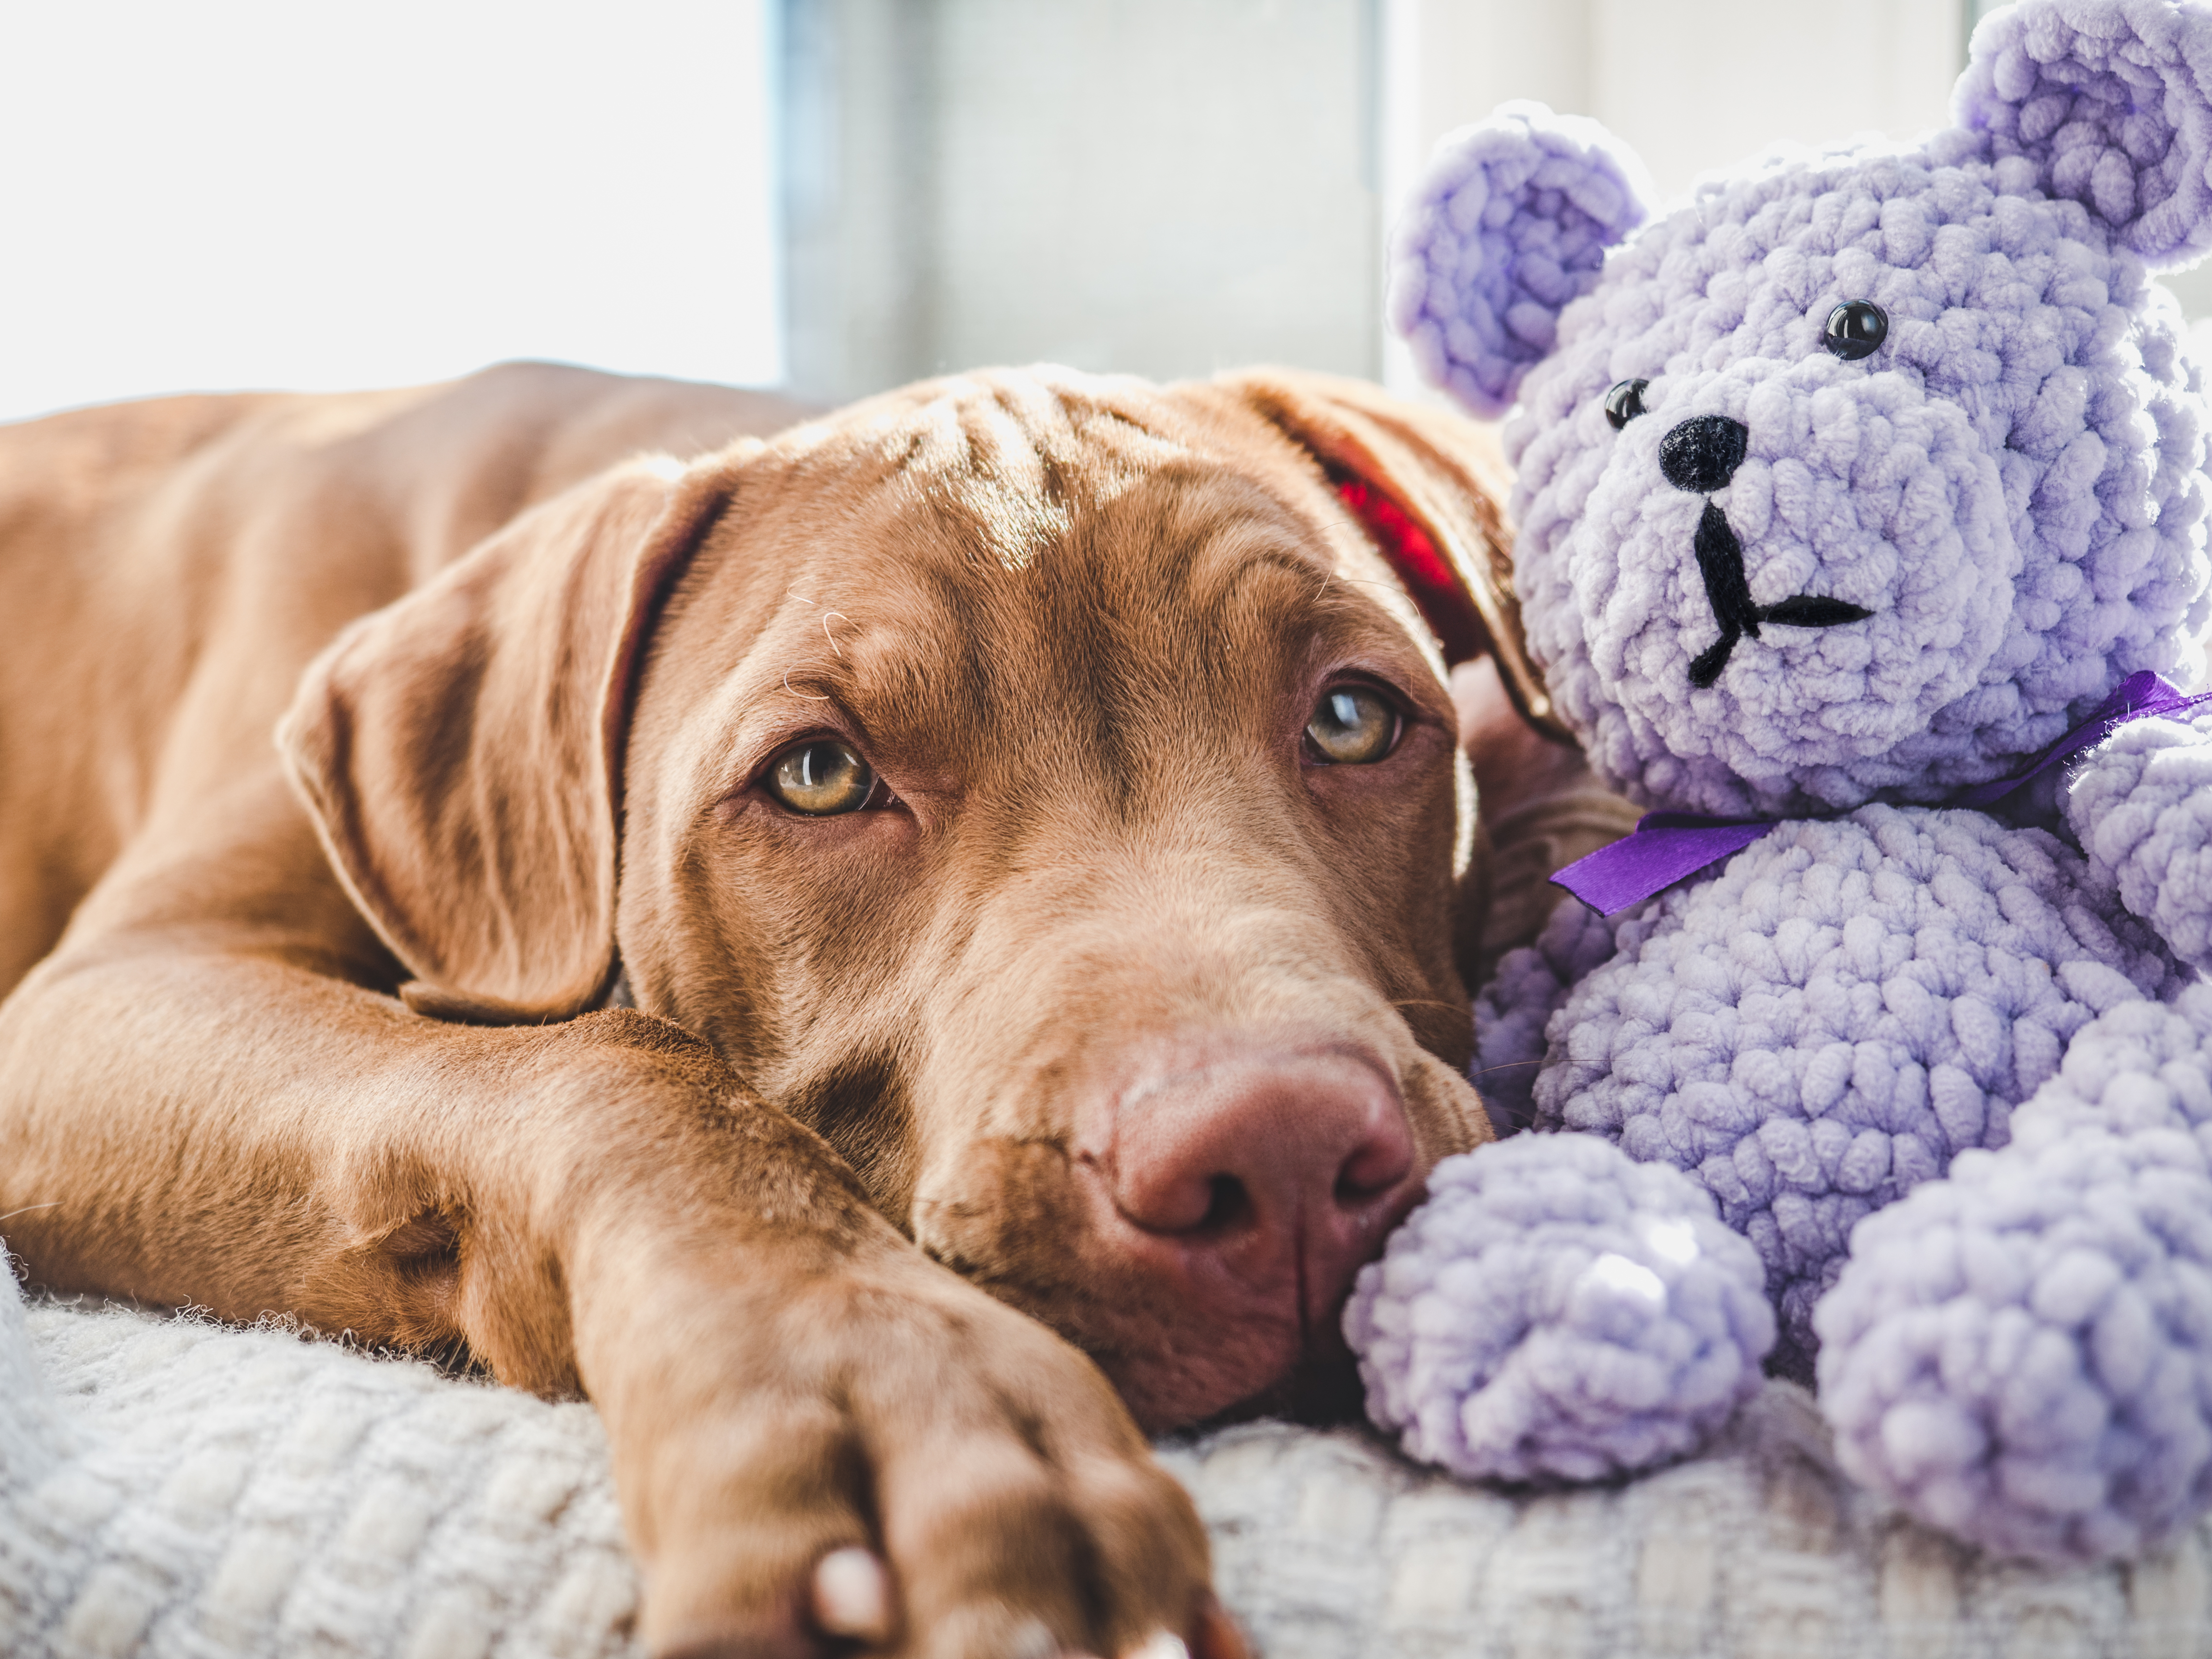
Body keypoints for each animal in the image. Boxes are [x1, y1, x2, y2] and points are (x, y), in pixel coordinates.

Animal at [0, 362, 1557, 1659]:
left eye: (1353, 717)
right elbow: (614, 1066)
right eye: (820, 774)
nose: (1284, 1156)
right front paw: (890, 1391)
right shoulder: (109, 999)